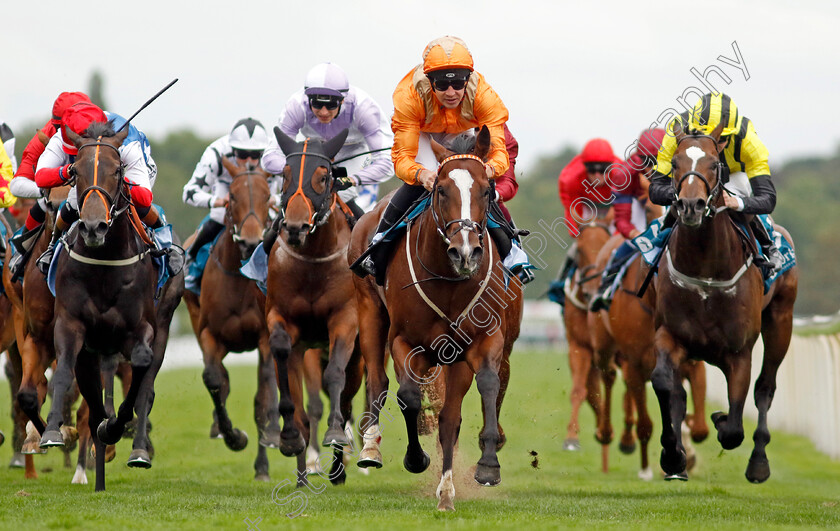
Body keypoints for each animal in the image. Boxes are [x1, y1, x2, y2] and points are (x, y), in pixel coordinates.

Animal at [37, 120, 184, 490]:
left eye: (118, 171)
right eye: (74, 171)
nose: (93, 226)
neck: (104, 263)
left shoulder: (141, 328)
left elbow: (141, 374)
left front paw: (117, 427)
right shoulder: (71, 324)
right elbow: (64, 372)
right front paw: (53, 432)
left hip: (163, 325)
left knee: (146, 384)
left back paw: (136, 448)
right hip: (94, 347)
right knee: (86, 388)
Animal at [185, 157, 282, 482]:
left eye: (267, 196)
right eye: (234, 197)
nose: (252, 240)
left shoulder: (265, 336)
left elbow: (263, 395)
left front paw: (266, 454)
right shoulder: (209, 334)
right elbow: (214, 379)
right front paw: (233, 436)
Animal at [266, 125, 364, 486]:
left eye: (323, 177)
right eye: (284, 174)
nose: (294, 227)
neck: (312, 262)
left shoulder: (345, 319)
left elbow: (335, 375)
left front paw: (335, 436)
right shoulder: (280, 317)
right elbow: (282, 355)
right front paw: (289, 438)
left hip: (359, 357)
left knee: (347, 402)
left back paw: (338, 466)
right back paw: (302, 475)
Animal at [346, 127, 520, 512]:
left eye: (487, 190)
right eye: (441, 190)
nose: (466, 252)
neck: (449, 281)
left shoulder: (483, 340)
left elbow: (483, 388)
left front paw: (486, 466)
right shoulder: (405, 341)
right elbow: (408, 397)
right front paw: (416, 459)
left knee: (454, 412)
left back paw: (448, 488)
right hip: (369, 313)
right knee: (378, 381)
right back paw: (371, 447)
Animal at [652, 120, 796, 482]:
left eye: (714, 164)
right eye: (674, 163)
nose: (690, 206)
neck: (706, 273)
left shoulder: (739, 352)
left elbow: (733, 428)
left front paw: (719, 420)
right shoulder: (670, 335)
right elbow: (665, 384)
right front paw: (673, 456)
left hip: (781, 321)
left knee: (765, 388)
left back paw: (758, 462)